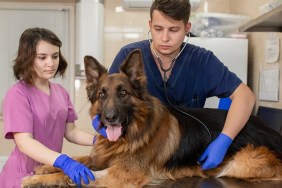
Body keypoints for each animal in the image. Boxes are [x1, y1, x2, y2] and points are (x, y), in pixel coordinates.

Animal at [22, 49, 282, 187]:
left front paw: (36, 180)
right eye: (102, 95)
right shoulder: (100, 158)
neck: (131, 134)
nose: (110, 118)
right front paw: (47, 166)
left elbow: (72, 175)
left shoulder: (120, 175)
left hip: (239, 163)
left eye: (123, 93)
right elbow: (77, 160)